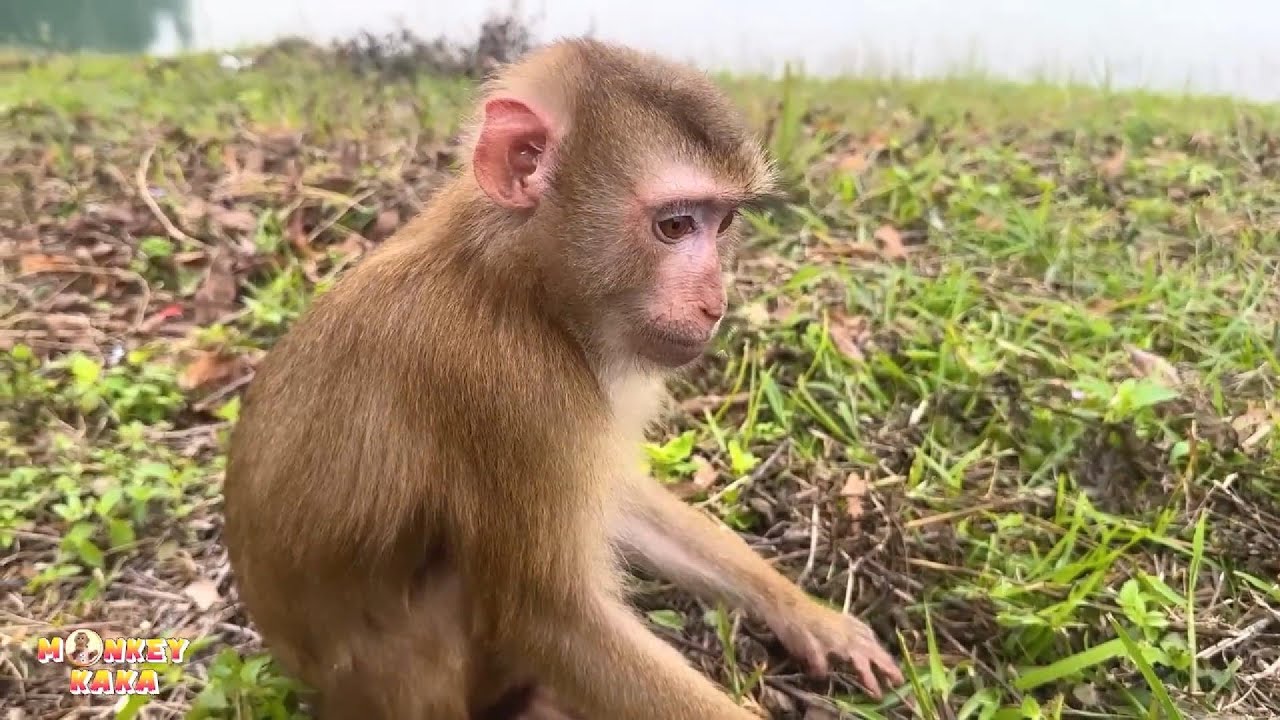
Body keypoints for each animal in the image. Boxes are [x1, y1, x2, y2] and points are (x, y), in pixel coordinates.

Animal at [221, 37, 905, 720]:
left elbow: (615, 495)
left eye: (724, 224)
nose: (715, 303)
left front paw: (809, 615)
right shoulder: (509, 386)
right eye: (675, 225)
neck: (519, 281)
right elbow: (553, 619)